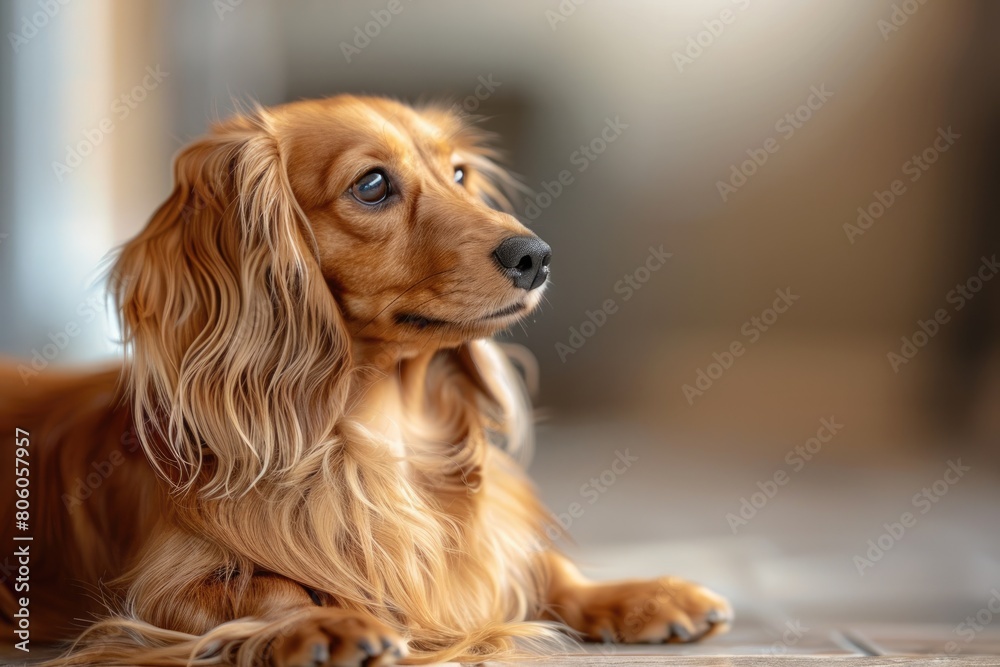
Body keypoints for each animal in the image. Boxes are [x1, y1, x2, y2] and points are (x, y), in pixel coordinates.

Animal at [0, 95, 732, 667]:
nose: (536, 255)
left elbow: (535, 564)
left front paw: (636, 594)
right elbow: (266, 588)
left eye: (459, 173)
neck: (382, 440)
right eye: (373, 185)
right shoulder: (159, 590)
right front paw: (323, 619)